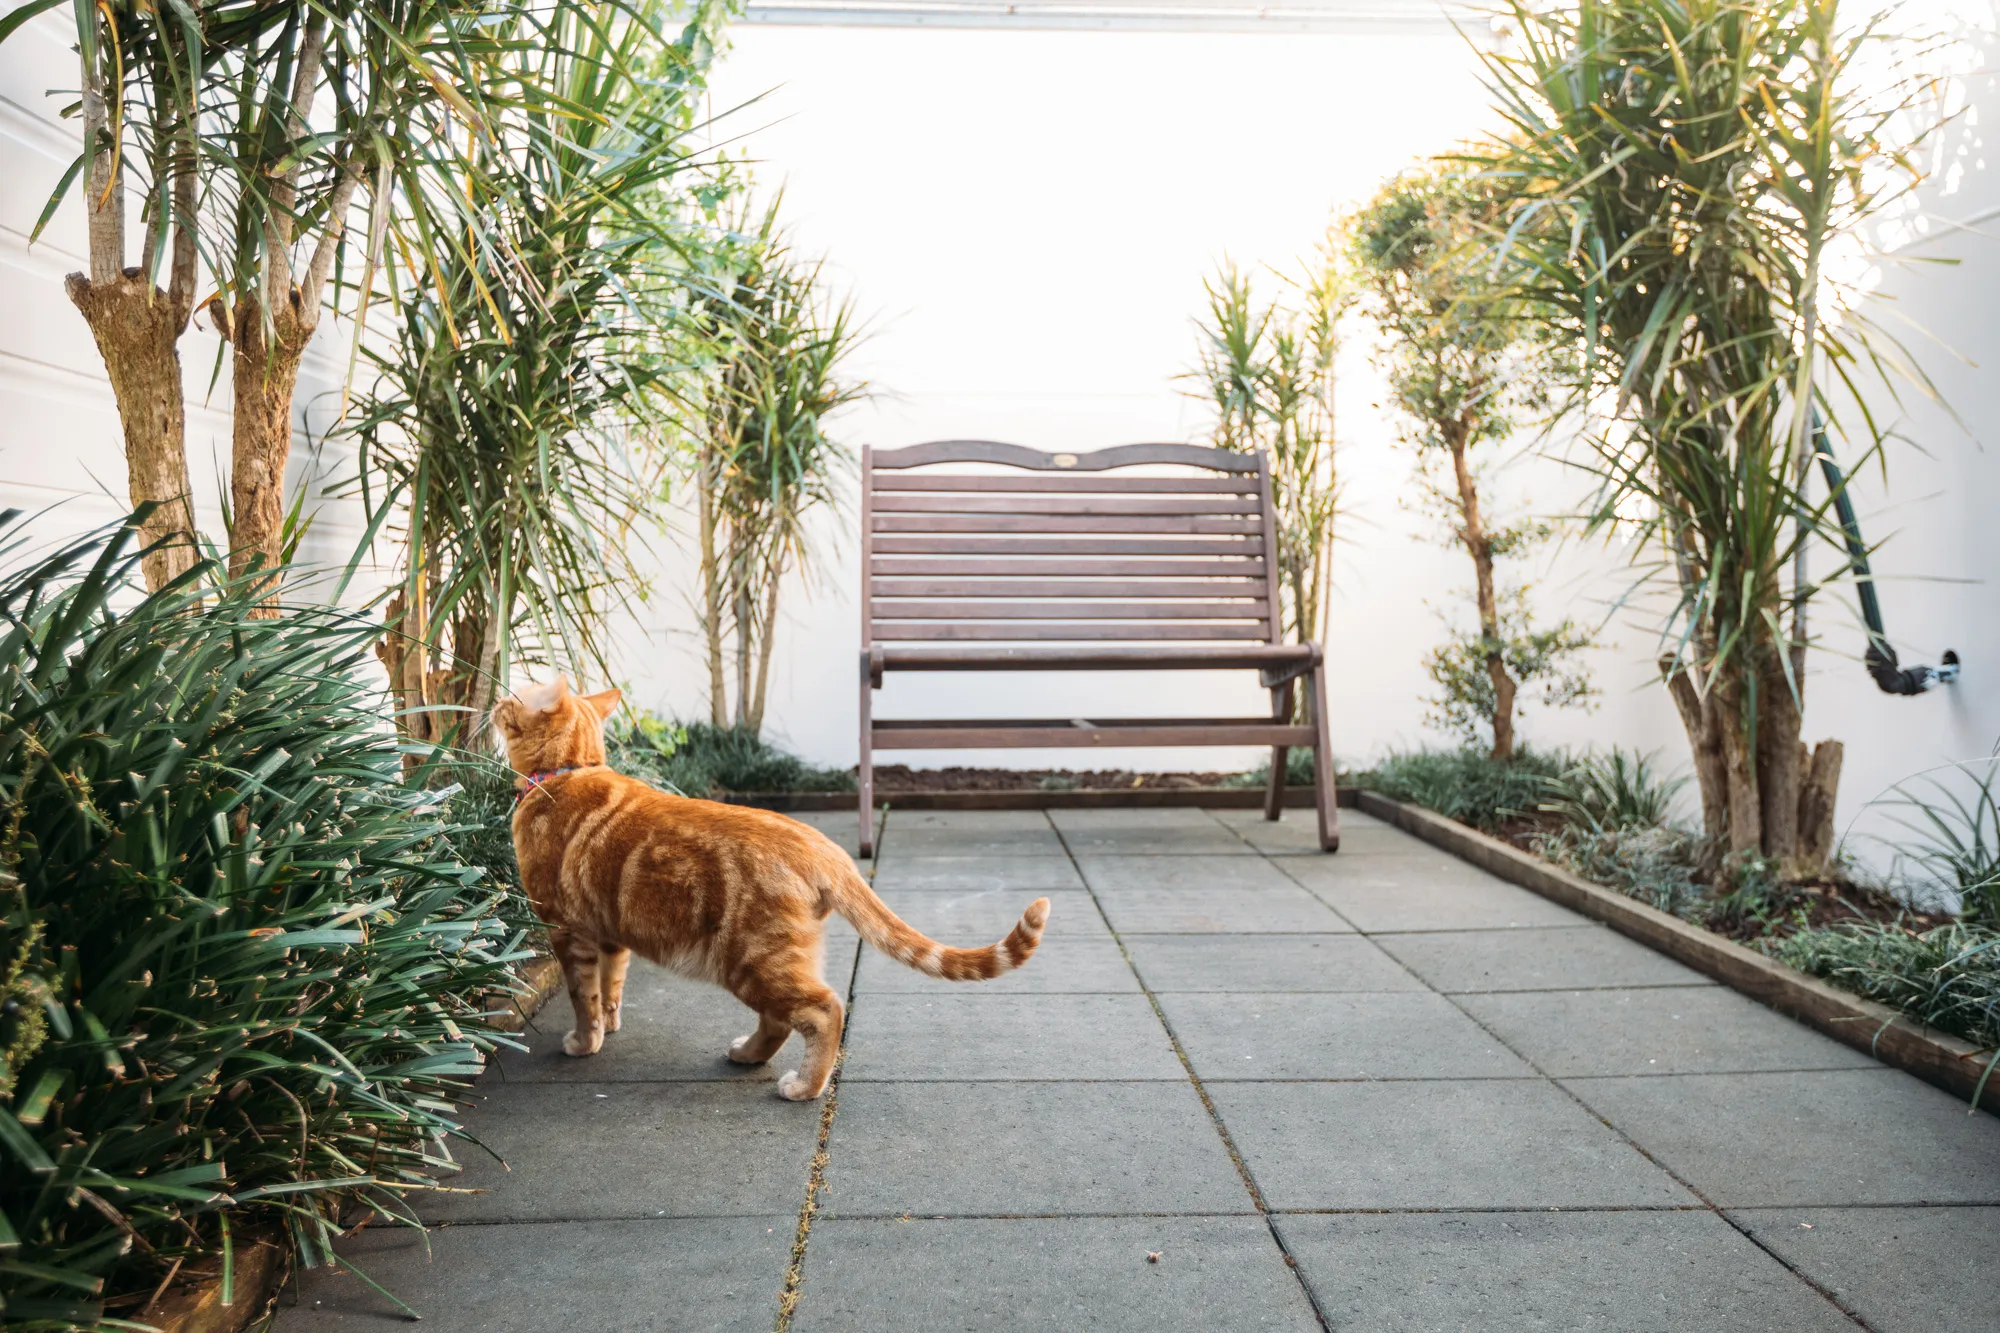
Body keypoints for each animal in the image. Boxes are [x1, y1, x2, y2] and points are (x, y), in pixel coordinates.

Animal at [494, 680, 1056, 1096]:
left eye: (507, 701)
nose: (493, 702)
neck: (565, 774)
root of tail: (821, 844)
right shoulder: (611, 934)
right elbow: (612, 988)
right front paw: (609, 1027)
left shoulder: (566, 931)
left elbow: (583, 995)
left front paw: (584, 1041)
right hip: (762, 961)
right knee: (779, 1021)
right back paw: (746, 1054)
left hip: (750, 960)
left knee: (823, 1011)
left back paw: (803, 1087)